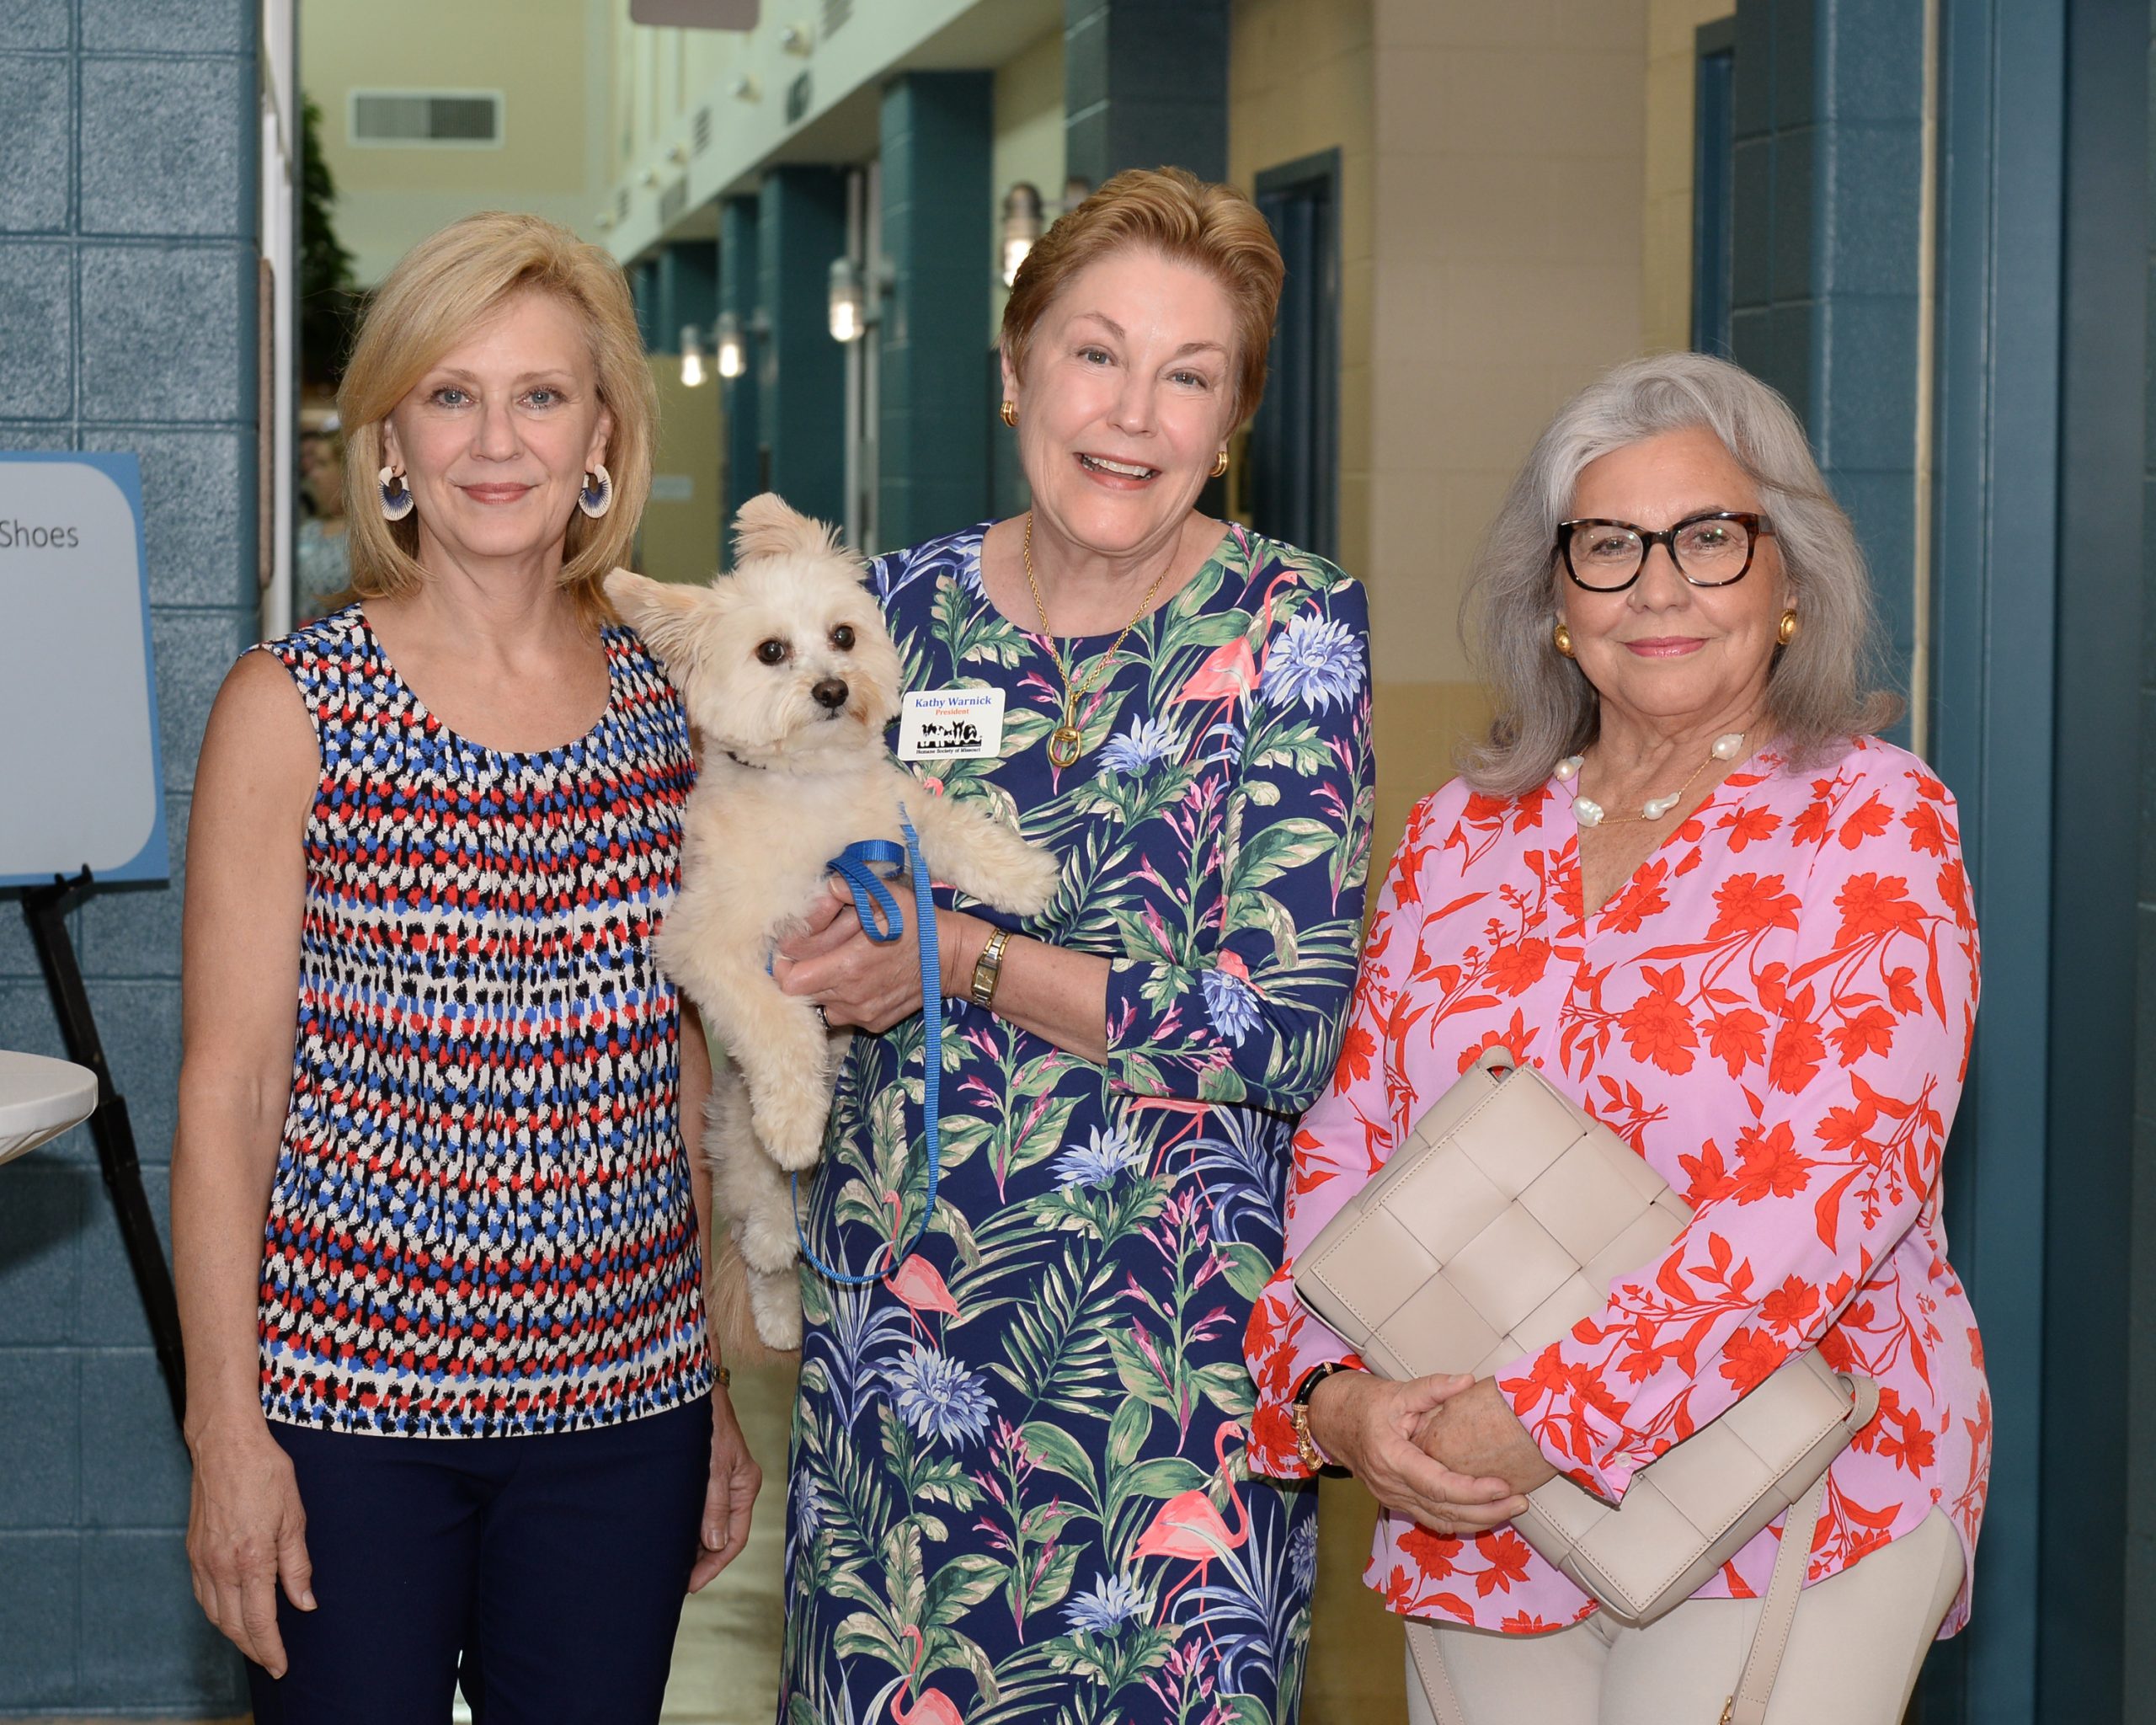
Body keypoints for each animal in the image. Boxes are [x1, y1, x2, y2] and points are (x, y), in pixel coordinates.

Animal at [605, 494, 1061, 1352]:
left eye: (844, 635)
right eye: (771, 650)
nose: (830, 687)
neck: (811, 794)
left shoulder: (895, 825)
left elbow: (957, 829)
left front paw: (1022, 875)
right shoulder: (707, 944)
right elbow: (779, 1024)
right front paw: (793, 1116)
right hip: (737, 1142)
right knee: (765, 1235)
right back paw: (778, 1280)